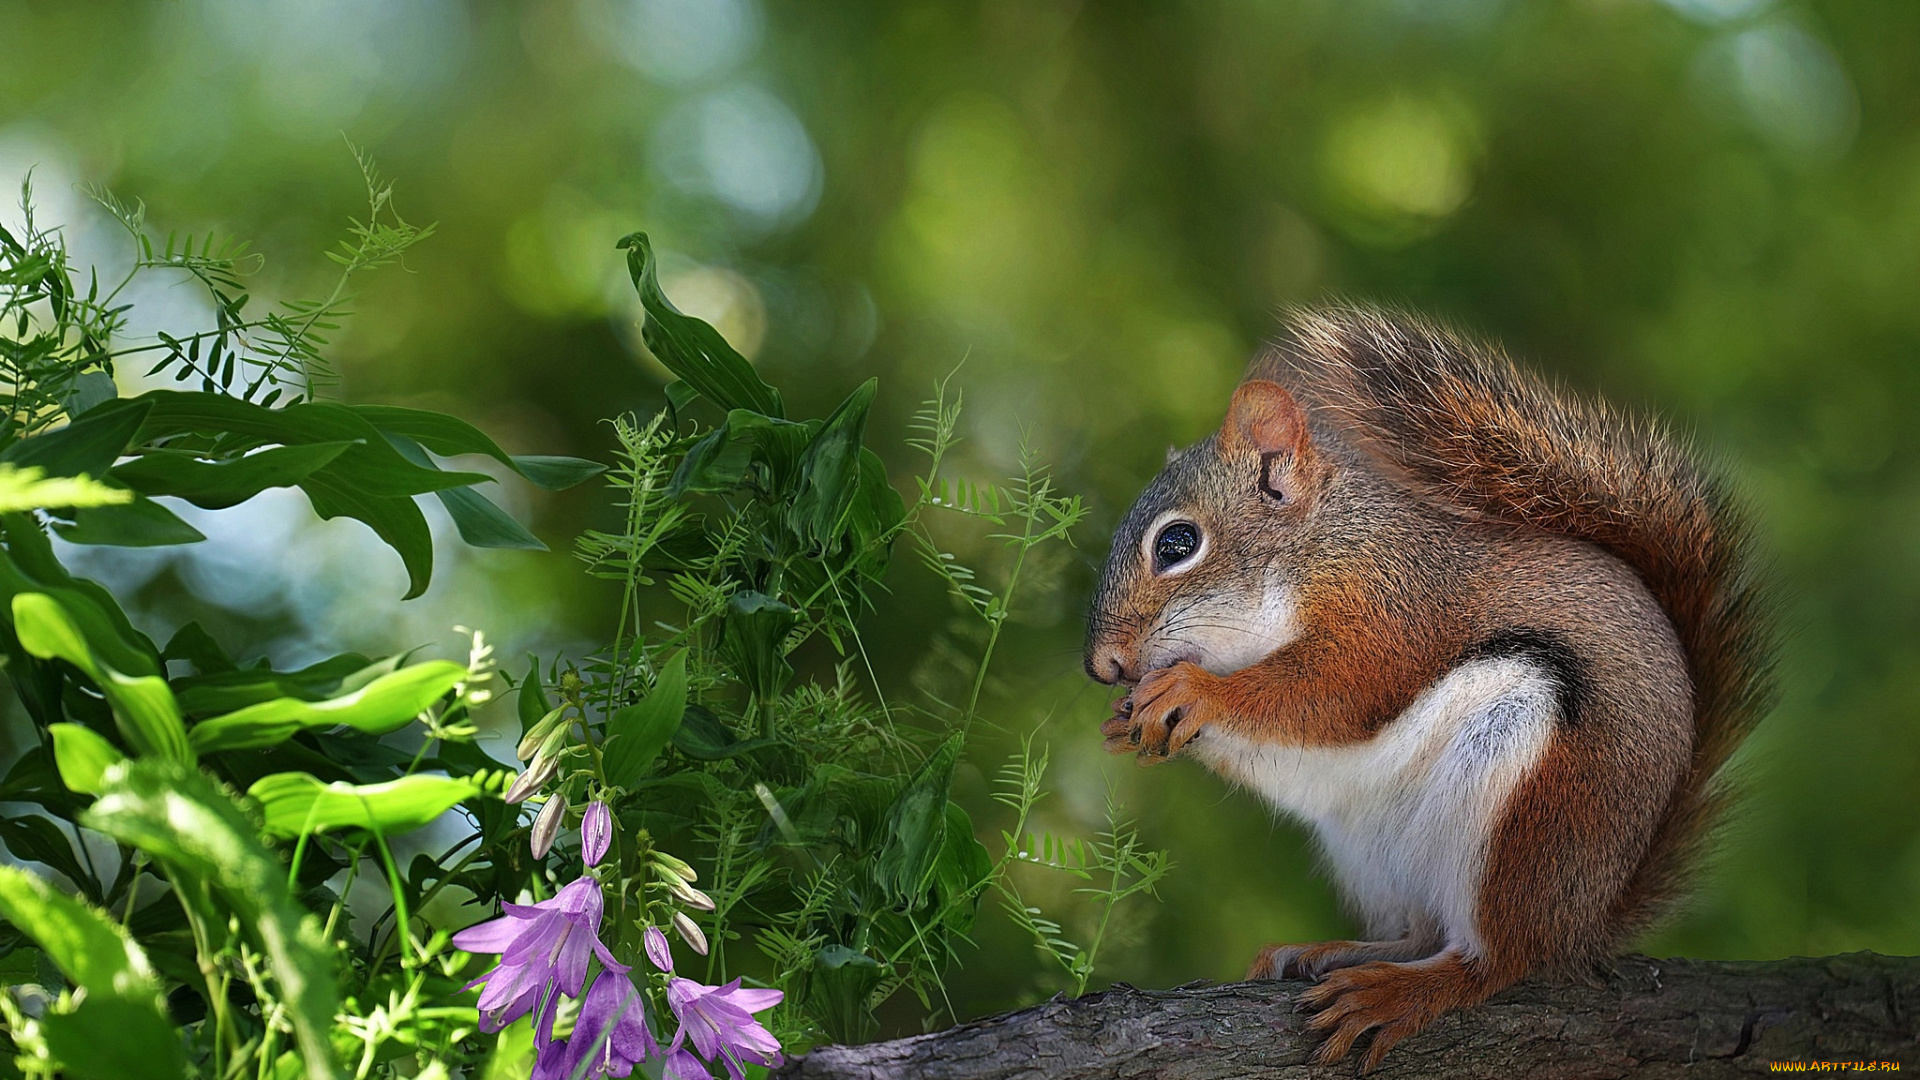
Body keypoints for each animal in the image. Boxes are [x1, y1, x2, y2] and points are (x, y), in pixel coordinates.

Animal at [1082, 307, 1766, 1060]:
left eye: (1177, 544)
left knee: (1493, 957)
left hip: (1530, 809)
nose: (1102, 665)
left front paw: (1193, 692)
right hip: (1371, 852)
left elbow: (1336, 693)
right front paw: (1124, 723)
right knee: (1423, 931)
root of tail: (1585, 919)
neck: (1320, 546)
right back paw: (1332, 953)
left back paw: (1402, 992)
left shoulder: (1392, 608)